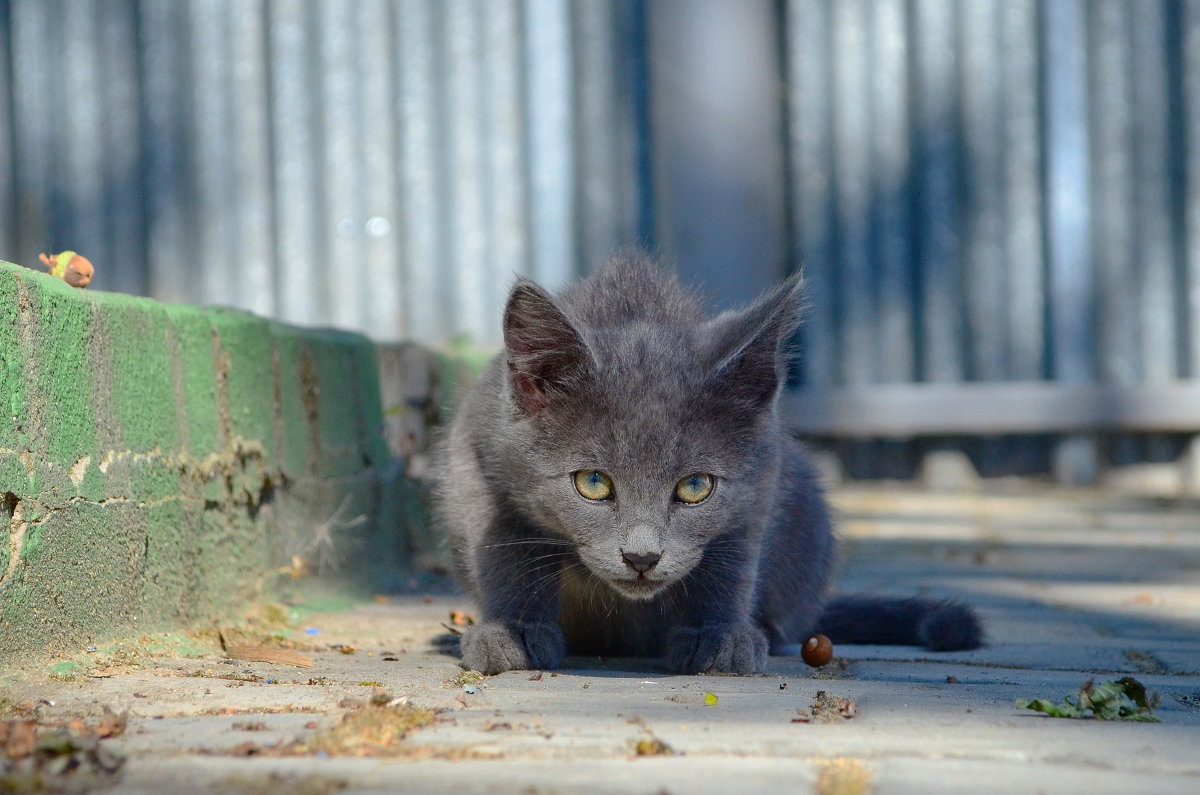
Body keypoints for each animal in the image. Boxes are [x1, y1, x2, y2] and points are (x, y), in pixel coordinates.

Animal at [436, 252, 979, 677]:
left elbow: (732, 555)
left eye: (695, 486)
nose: (641, 557)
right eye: (592, 482)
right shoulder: (477, 453)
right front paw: (515, 630)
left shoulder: (762, 475)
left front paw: (719, 636)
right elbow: (504, 547)